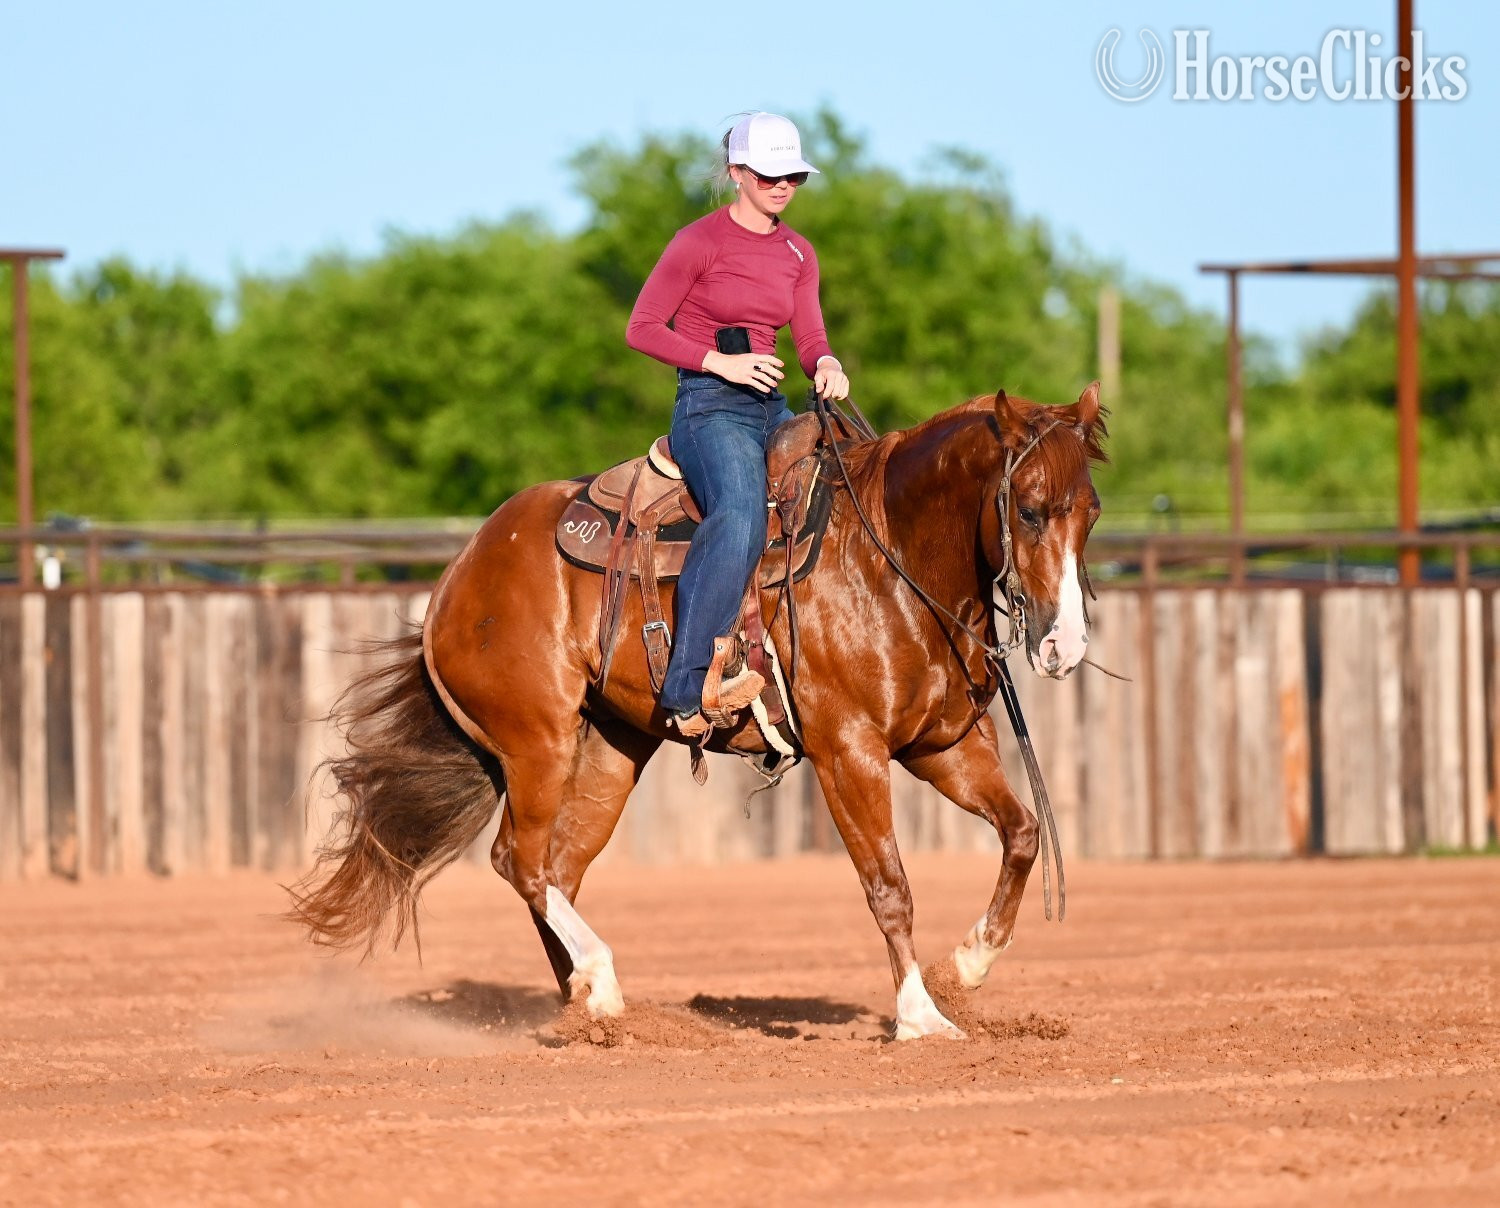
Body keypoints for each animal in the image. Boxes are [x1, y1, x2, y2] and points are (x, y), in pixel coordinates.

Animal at [289, 383, 1108, 1040]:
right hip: (537, 742)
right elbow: (890, 888)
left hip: (611, 749)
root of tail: (457, 575)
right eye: (1029, 510)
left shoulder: (943, 745)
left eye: (1092, 512)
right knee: (518, 860)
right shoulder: (849, 750)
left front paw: (965, 968)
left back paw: (585, 1007)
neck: (889, 559)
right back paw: (601, 985)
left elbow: (1023, 833)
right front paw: (918, 1016)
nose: (1064, 644)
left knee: (556, 869)